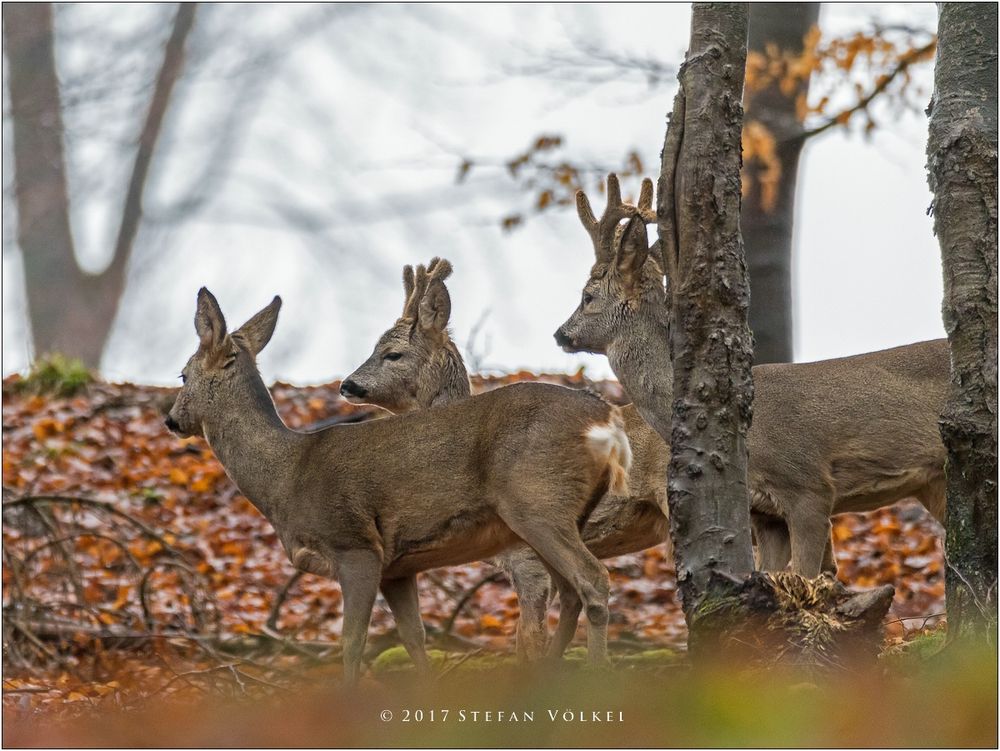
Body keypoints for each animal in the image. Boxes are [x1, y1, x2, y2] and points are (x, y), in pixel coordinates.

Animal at [168, 290, 628, 688]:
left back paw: (597, 674)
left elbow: (352, 642)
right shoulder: (398, 566)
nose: (172, 420)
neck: (287, 475)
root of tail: (606, 421)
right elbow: (414, 639)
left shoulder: (355, 544)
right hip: (561, 513)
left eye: (183, 374)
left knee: (592, 580)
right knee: (569, 592)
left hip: (536, 501)